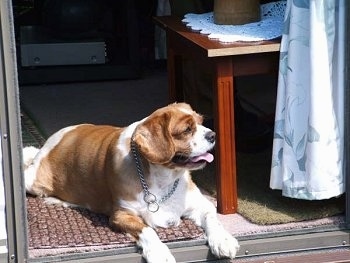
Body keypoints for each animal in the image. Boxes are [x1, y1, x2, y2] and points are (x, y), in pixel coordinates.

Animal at [23, 103, 239, 263]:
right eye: (187, 130)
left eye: (201, 122)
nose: (212, 135)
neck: (163, 178)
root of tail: (56, 137)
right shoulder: (122, 215)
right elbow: (148, 230)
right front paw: (159, 252)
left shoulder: (201, 205)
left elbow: (213, 218)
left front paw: (223, 239)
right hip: (34, 179)